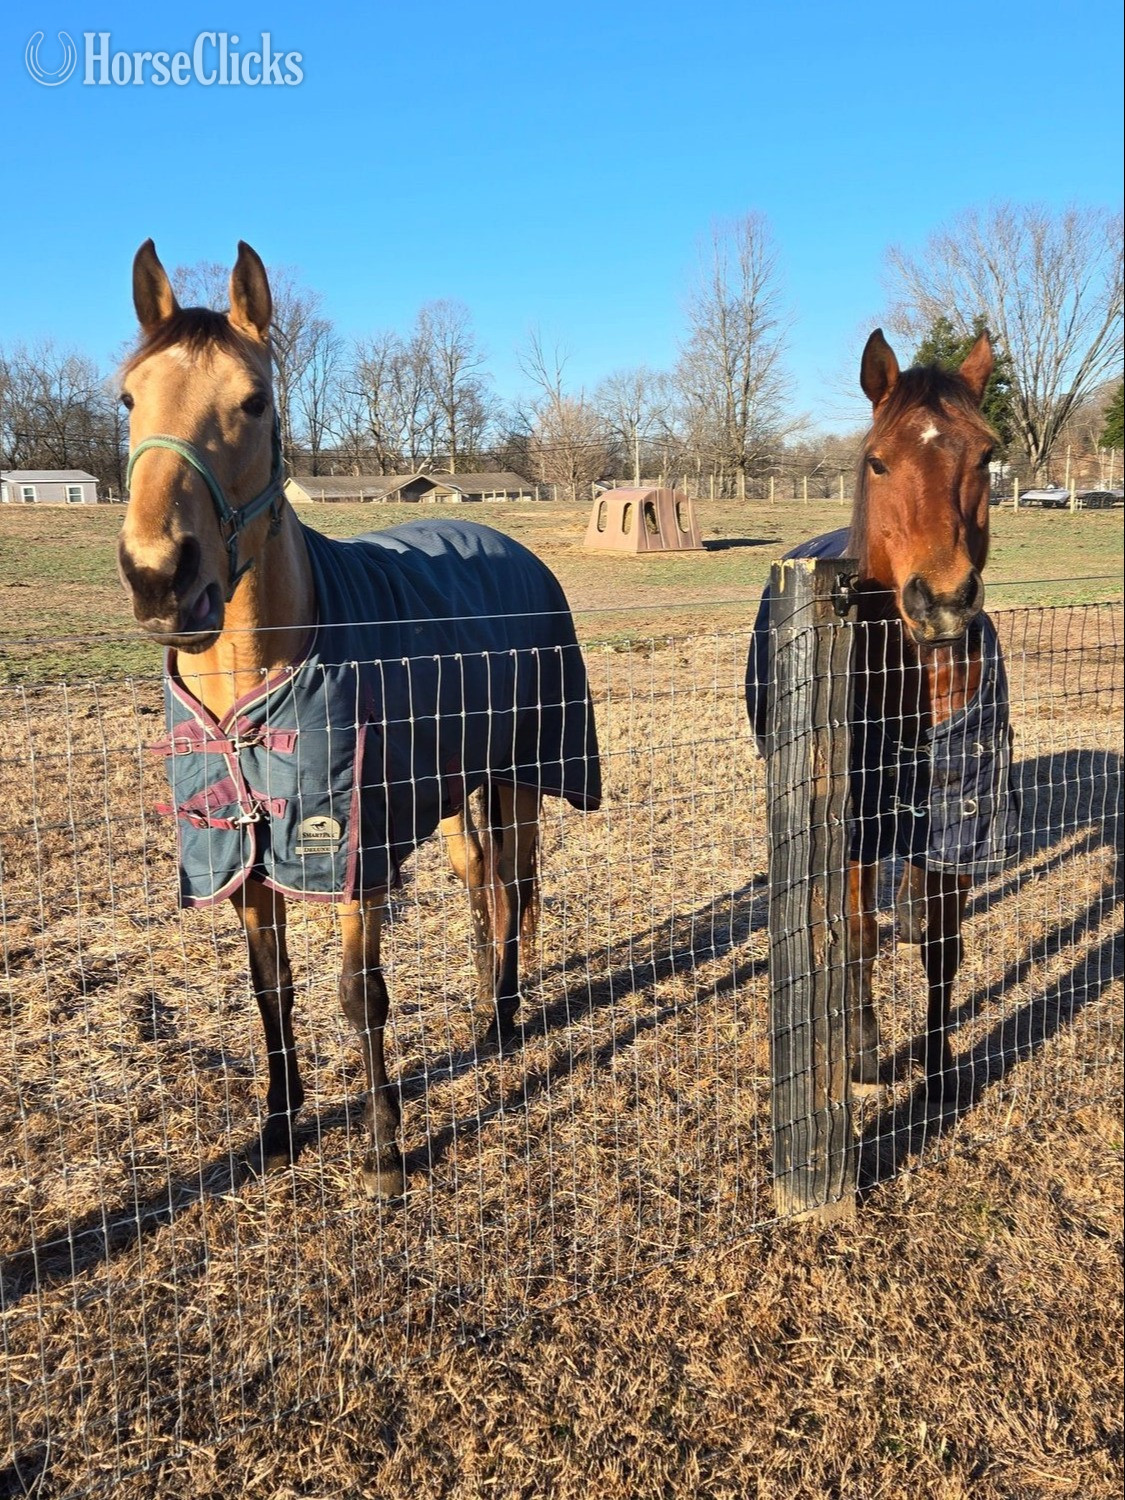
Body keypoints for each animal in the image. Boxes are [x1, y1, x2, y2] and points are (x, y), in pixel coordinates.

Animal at [117, 240, 601, 1199]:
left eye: (254, 400)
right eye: (127, 397)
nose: (159, 580)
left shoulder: (352, 854)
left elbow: (358, 993)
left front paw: (382, 1146)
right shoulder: (246, 859)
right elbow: (271, 992)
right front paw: (277, 1130)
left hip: (523, 777)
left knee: (515, 888)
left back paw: (506, 1018)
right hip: (454, 792)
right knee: (482, 887)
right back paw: (485, 1011)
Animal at [747, 329, 1018, 1102]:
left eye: (984, 455)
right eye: (877, 460)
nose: (944, 601)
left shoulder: (960, 815)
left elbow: (945, 946)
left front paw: (941, 1070)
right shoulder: (856, 823)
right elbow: (857, 934)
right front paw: (866, 1053)